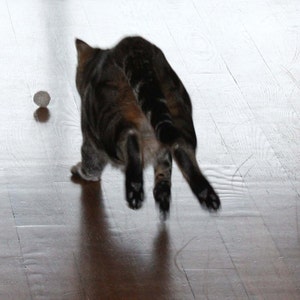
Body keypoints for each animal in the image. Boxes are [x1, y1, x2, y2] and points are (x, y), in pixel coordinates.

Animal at [70, 36, 220, 217]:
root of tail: (135, 45)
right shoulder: (163, 151)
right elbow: (164, 167)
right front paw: (162, 191)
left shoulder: (90, 138)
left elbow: (91, 164)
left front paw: (81, 171)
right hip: (179, 115)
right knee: (181, 148)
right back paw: (204, 194)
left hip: (110, 121)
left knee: (130, 139)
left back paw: (134, 190)